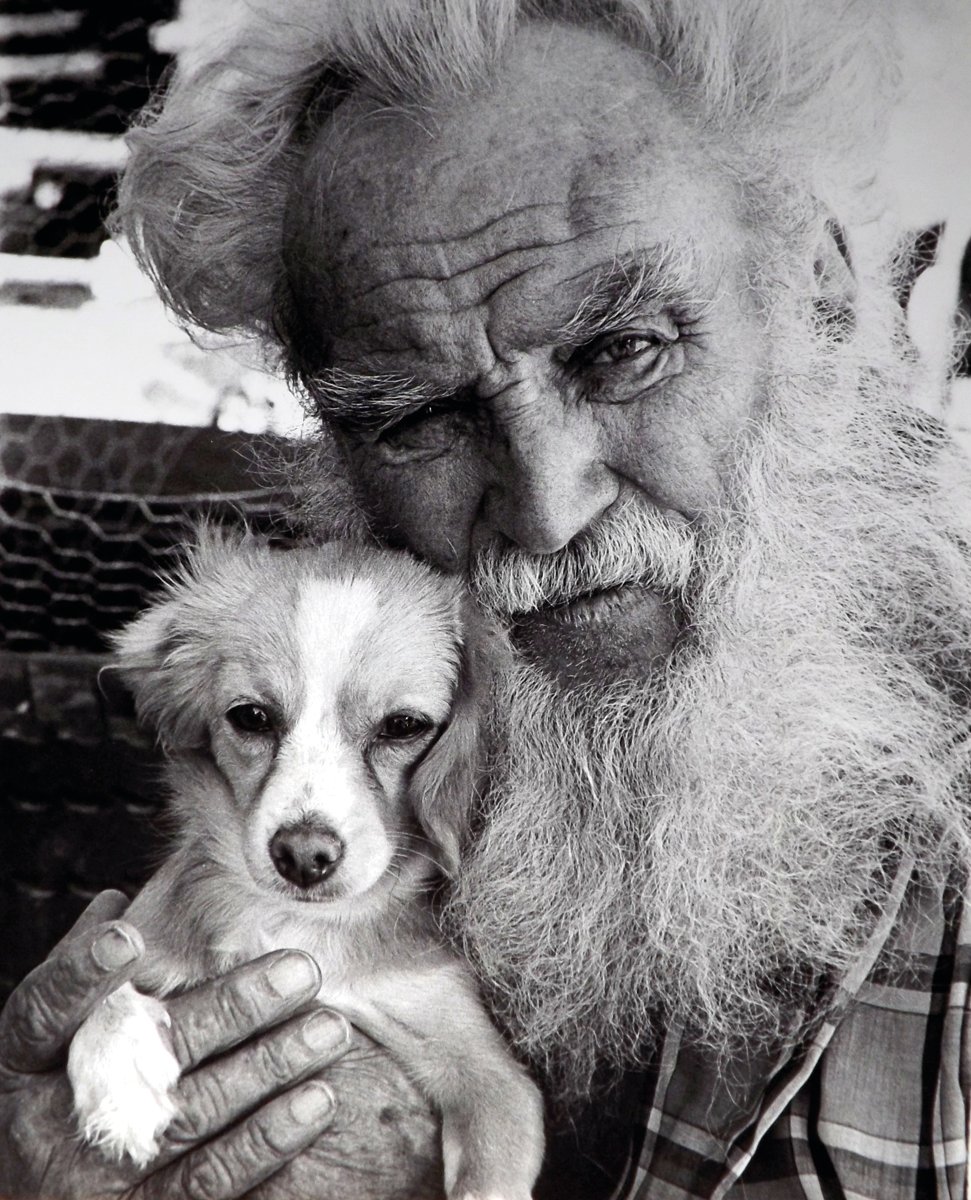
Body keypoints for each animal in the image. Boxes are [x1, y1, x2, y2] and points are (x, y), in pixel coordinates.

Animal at [68, 532, 544, 1200]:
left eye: (403, 726)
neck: (299, 928)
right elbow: (106, 979)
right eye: (250, 717)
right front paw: (123, 1085)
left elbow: (488, 1175)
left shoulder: (494, 1080)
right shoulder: (146, 940)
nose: (303, 854)